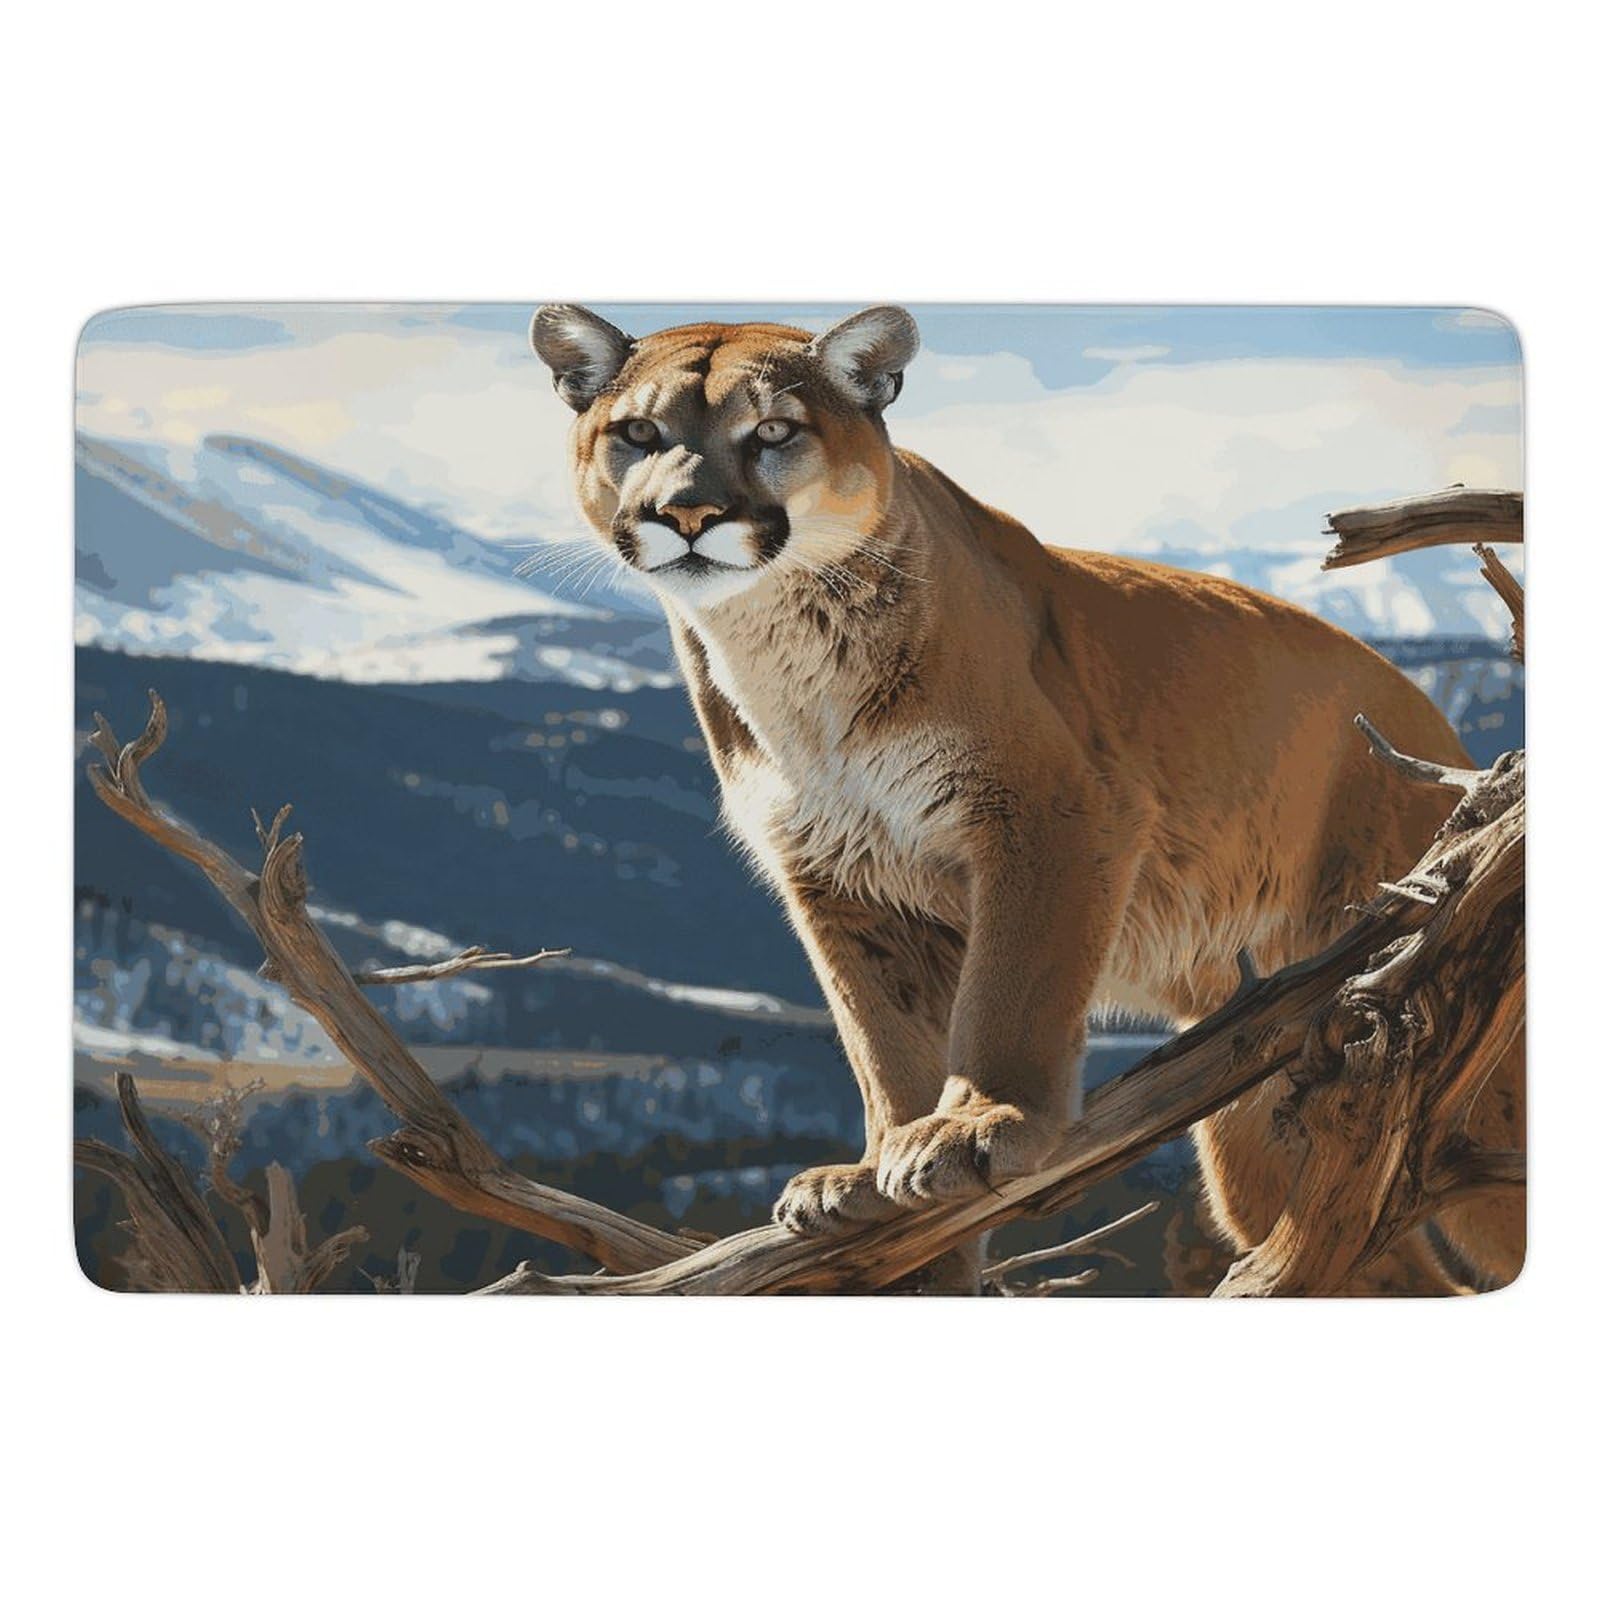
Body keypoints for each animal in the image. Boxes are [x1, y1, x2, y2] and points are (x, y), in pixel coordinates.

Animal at [530, 303, 1524, 1293]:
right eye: (638, 434)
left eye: (773, 431)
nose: (685, 512)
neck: (781, 650)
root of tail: (1445, 739)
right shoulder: (836, 875)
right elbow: (876, 1033)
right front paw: (875, 1174)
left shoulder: (1052, 811)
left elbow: (1010, 985)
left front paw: (979, 1125)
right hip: (1274, 1125)